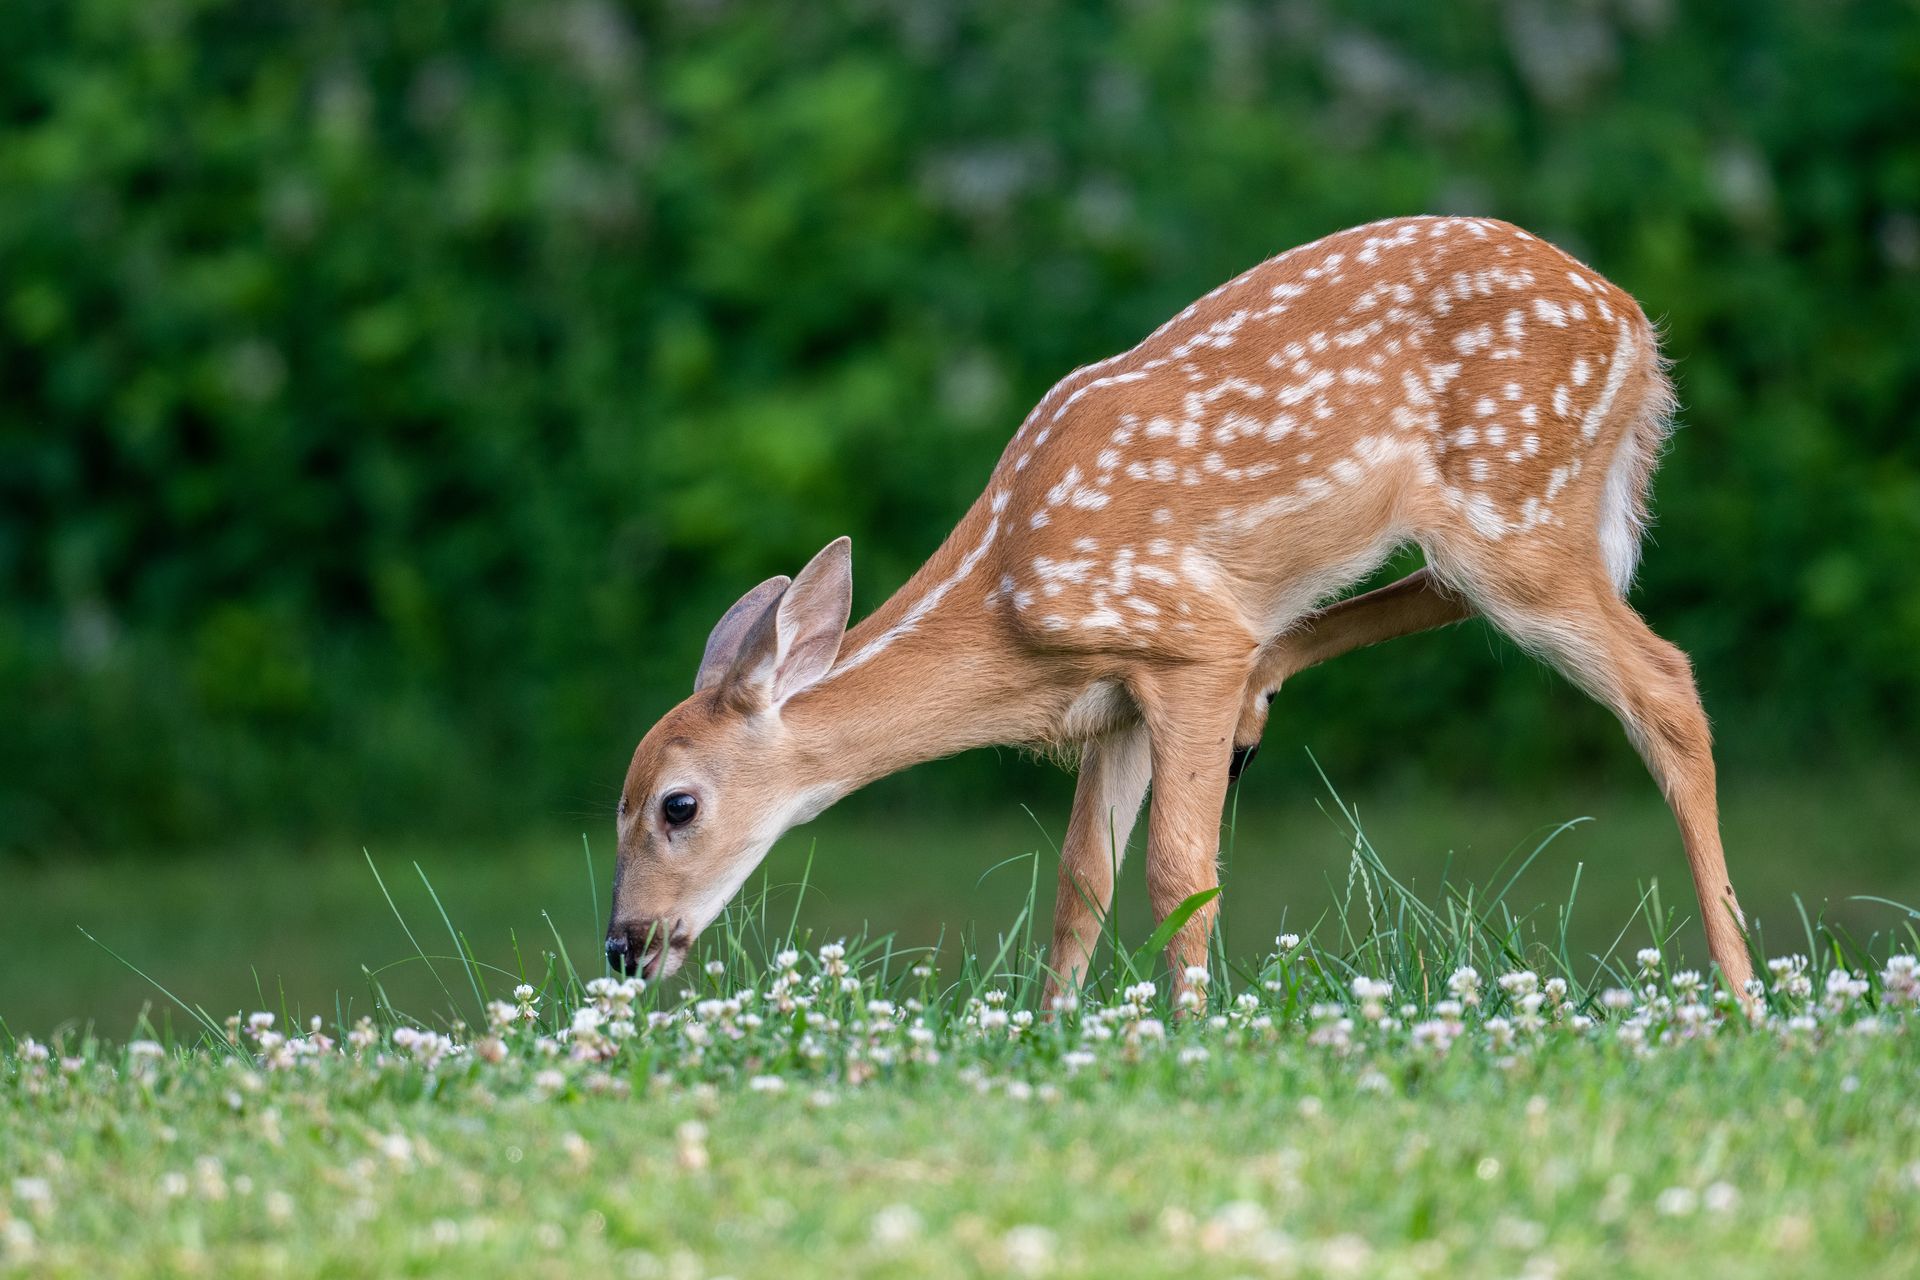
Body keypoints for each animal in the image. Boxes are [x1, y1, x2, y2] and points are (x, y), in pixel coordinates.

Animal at [605, 215, 1756, 1008]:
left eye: (677, 804)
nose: (623, 944)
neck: (1009, 599)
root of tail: (1639, 333)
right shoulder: (1115, 699)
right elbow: (1078, 881)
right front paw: (1051, 1028)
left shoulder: (1179, 640)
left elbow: (1176, 872)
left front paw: (1187, 1029)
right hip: (1489, 528)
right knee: (1423, 602)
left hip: (1520, 507)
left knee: (1667, 683)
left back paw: (1743, 994)